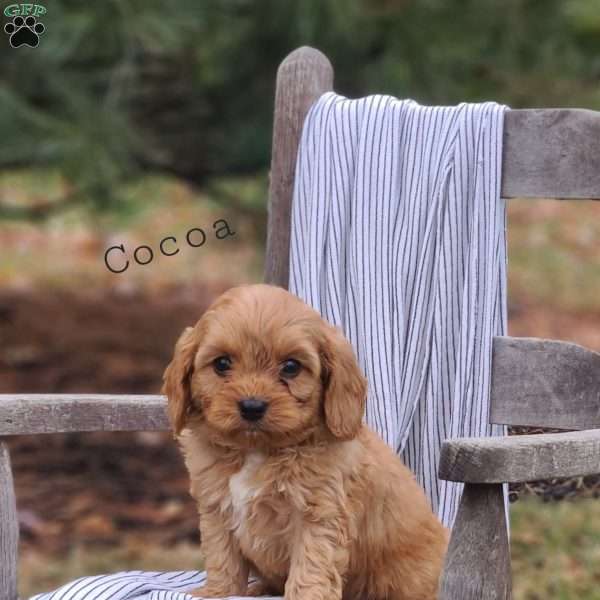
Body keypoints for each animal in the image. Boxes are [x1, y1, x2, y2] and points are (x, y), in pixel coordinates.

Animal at [162, 284, 448, 600]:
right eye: (222, 363)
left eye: (291, 367)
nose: (252, 406)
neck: (257, 449)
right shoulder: (216, 509)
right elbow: (222, 559)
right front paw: (218, 592)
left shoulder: (319, 515)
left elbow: (311, 566)